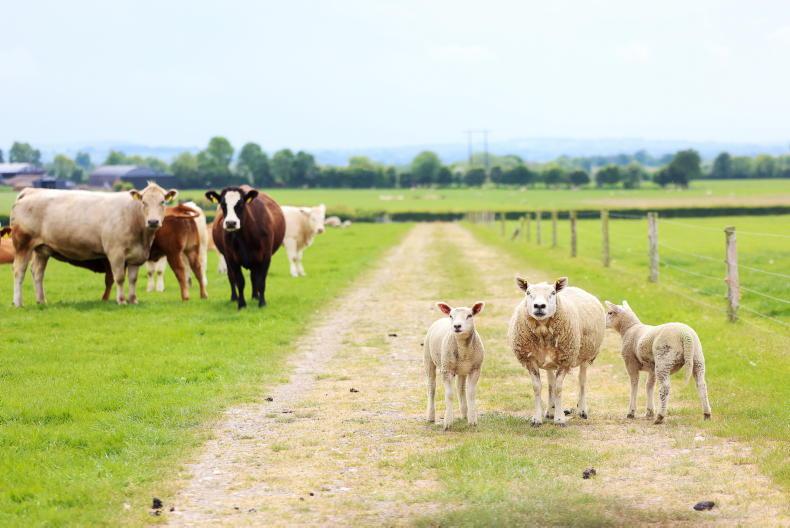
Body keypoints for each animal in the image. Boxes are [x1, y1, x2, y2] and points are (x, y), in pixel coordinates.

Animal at [9, 182, 177, 306]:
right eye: (143, 202)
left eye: (163, 201)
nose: (153, 221)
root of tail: (32, 190)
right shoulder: (115, 253)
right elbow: (120, 277)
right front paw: (121, 301)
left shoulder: (136, 256)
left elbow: (133, 279)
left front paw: (133, 300)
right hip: (23, 244)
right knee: (19, 271)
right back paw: (18, 303)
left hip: (42, 249)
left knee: (38, 272)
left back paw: (41, 301)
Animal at [424, 301, 485, 430]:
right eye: (451, 316)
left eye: (469, 315)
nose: (457, 326)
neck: (463, 349)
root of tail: (441, 318)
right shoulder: (446, 370)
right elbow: (449, 395)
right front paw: (448, 422)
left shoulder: (475, 369)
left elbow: (470, 393)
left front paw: (472, 420)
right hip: (428, 359)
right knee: (431, 388)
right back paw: (430, 416)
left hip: (462, 369)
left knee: (460, 388)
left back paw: (464, 414)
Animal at [508, 276, 605, 426]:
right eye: (528, 292)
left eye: (553, 293)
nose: (539, 306)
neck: (543, 331)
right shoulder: (530, 360)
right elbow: (538, 387)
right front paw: (537, 418)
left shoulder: (565, 360)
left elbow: (559, 388)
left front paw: (559, 419)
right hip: (550, 362)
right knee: (550, 384)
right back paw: (550, 411)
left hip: (587, 355)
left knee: (582, 380)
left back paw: (582, 410)